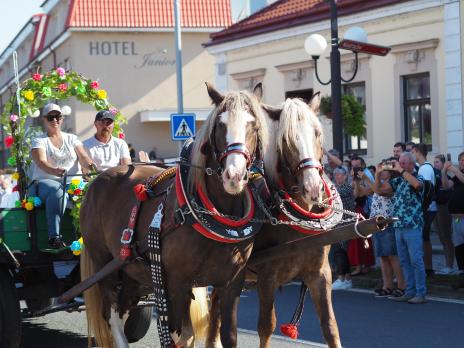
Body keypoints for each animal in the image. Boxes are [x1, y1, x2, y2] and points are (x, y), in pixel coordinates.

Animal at [80, 83, 268, 346]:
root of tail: (97, 180)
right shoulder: (175, 284)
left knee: (124, 305)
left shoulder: (232, 283)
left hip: (131, 271)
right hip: (103, 263)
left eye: (254, 125)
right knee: (112, 313)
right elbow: (176, 335)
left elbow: (227, 336)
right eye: (219, 125)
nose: (234, 176)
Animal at [208, 94, 344, 348]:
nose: (313, 188)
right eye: (287, 139)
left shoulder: (320, 273)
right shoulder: (267, 277)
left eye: (317, 133)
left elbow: (330, 327)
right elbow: (266, 326)